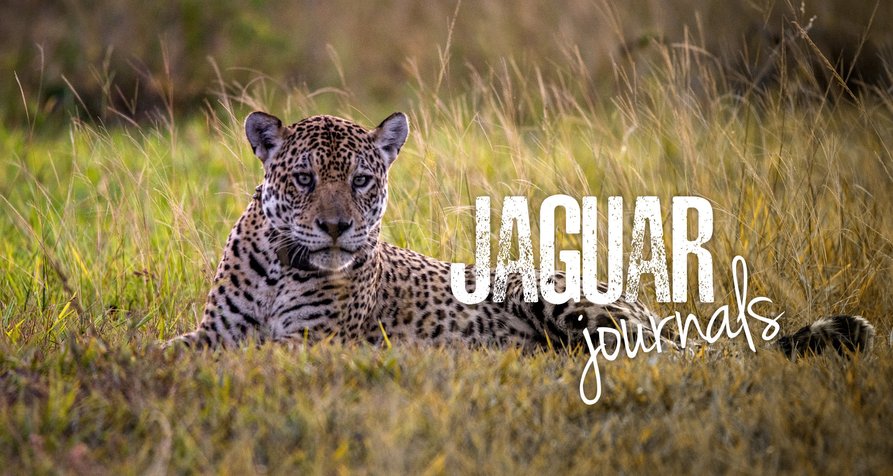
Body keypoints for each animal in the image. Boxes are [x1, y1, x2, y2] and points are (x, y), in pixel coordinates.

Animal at [167, 110, 875, 359]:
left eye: (363, 180)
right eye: (305, 178)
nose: (336, 226)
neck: (282, 265)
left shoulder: (315, 343)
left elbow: (251, 355)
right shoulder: (215, 329)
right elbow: (169, 348)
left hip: (561, 298)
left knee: (676, 355)